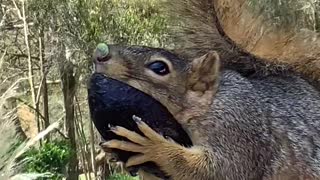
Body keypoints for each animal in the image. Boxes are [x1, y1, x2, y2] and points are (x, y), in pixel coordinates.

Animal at [92, 0, 320, 180]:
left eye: (159, 67)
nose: (99, 53)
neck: (210, 103)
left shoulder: (239, 127)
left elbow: (222, 170)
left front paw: (152, 146)